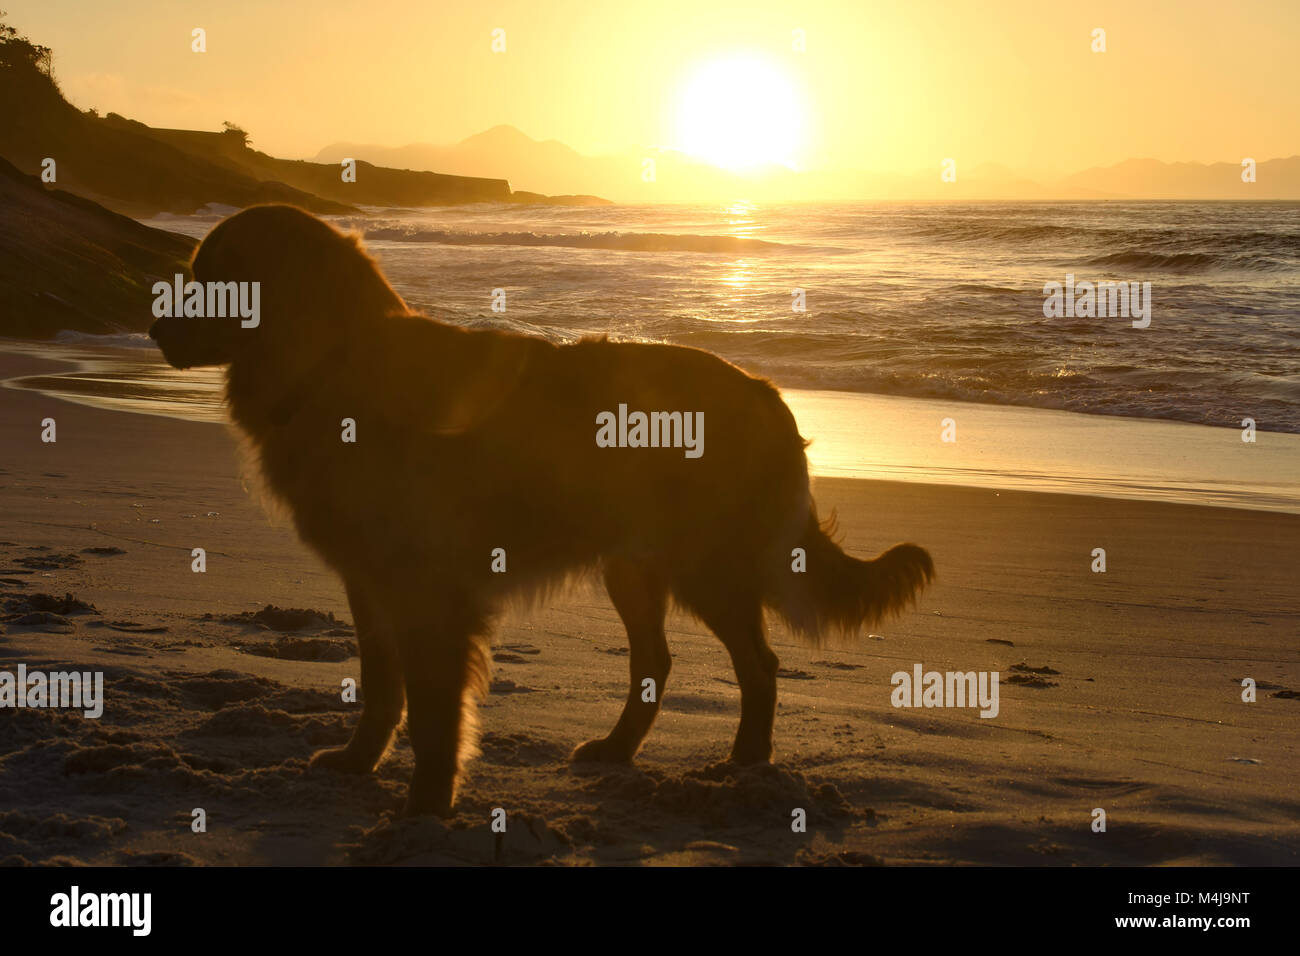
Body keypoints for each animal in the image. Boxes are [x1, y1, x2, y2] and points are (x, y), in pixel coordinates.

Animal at [152, 208, 935, 816]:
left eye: (217, 276)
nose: (156, 330)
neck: (335, 367)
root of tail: (766, 393)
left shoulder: (430, 590)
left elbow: (433, 710)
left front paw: (426, 805)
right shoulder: (369, 581)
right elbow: (380, 687)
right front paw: (358, 761)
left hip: (705, 566)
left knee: (759, 665)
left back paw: (742, 761)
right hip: (633, 567)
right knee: (658, 661)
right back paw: (619, 748)